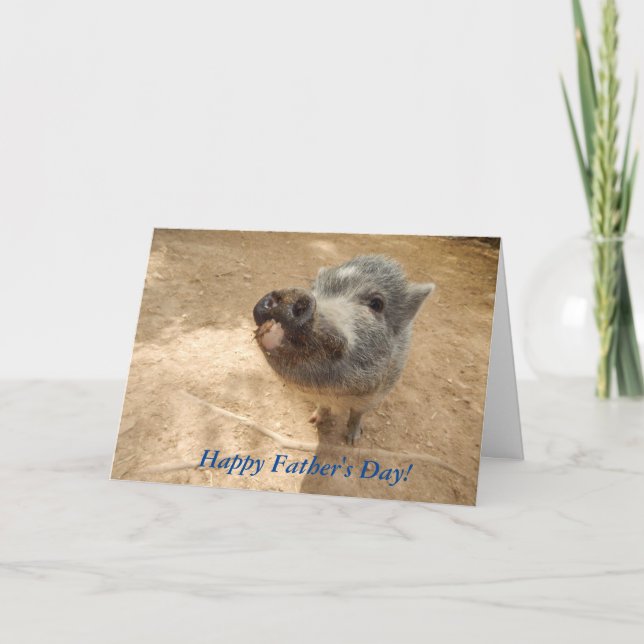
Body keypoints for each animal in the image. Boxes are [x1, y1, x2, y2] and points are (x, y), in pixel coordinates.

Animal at [252, 255, 435, 445]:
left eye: (377, 304)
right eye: (314, 288)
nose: (294, 294)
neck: (337, 396)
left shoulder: (376, 395)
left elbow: (357, 414)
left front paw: (352, 441)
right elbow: (323, 407)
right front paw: (312, 421)